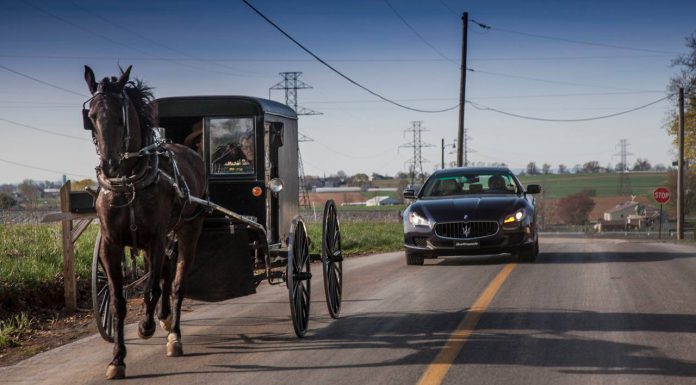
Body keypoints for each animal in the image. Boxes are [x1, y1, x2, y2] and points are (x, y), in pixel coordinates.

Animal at [84, 66, 207, 378]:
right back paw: (164, 319)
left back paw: (173, 334)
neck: (128, 182)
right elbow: (118, 301)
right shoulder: (111, 244)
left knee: (176, 283)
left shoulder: (156, 239)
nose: (110, 166)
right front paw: (117, 358)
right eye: (91, 116)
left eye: (120, 116)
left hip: (188, 230)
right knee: (165, 273)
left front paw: (146, 326)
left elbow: (152, 289)